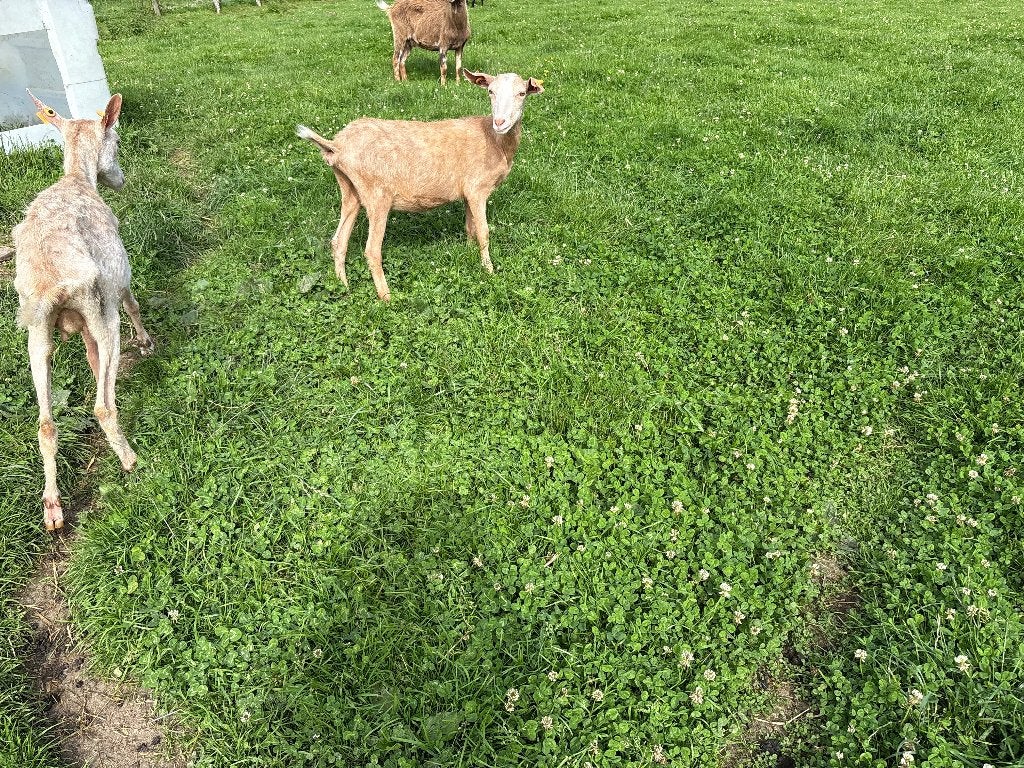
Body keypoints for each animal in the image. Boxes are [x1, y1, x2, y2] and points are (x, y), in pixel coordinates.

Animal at [12, 92, 154, 531]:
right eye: (117, 141)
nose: (120, 179)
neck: (77, 178)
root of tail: (52, 286)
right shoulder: (116, 278)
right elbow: (133, 301)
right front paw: (146, 343)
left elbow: (93, 360)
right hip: (101, 310)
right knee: (102, 406)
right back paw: (130, 459)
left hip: (36, 332)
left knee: (45, 423)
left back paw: (52, 507)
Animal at [296, 70, 543, 301]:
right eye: (490, 91)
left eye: (522, 93)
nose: (500, 122)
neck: (494, 140)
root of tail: (335, 146)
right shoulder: (477, 189)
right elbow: (483, 232)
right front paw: (489, 272)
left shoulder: (467, 193)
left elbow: (470, 228)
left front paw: (468, 255)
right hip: (377, 194)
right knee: (372, 249)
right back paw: (386, 297)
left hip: (350, 189)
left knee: (338, 241)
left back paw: (344, 286)